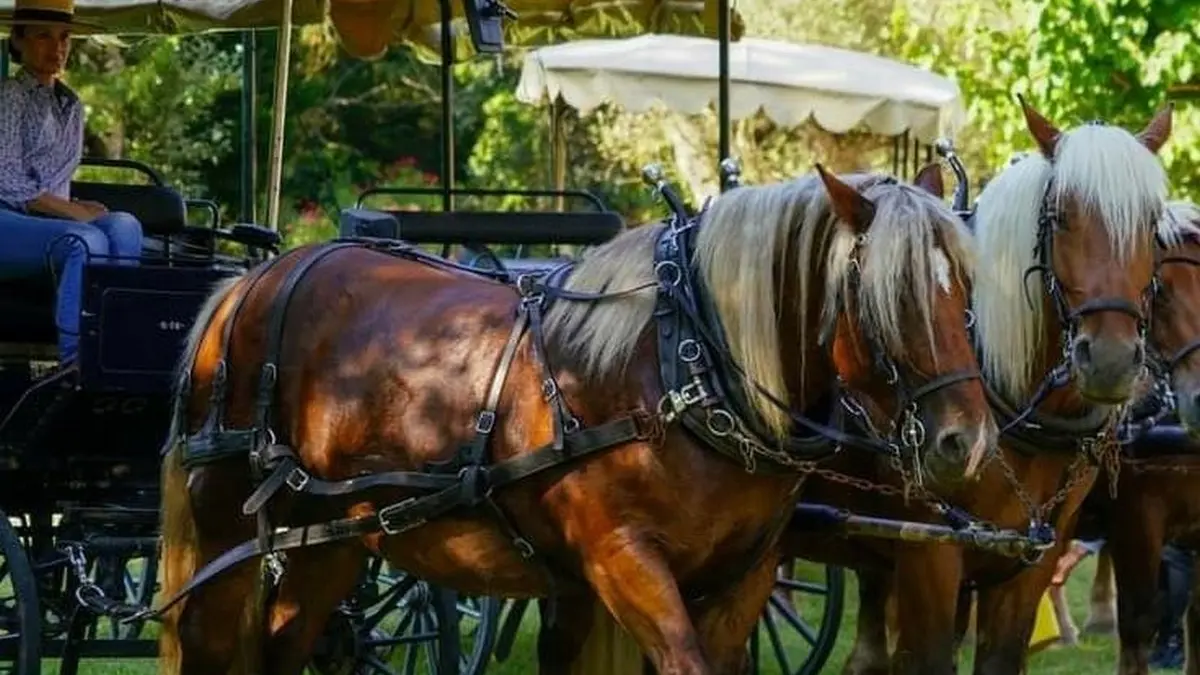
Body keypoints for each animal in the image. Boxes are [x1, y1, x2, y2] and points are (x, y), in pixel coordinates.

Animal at [150, 164, 993, 672]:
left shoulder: (742, 579)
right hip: (224, 529)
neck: (682, 367)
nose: (967, 440)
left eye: (964, 289)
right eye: (892, 297)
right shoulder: (623, 561)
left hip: (333, 539)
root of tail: (255, 279)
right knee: (206, 638)